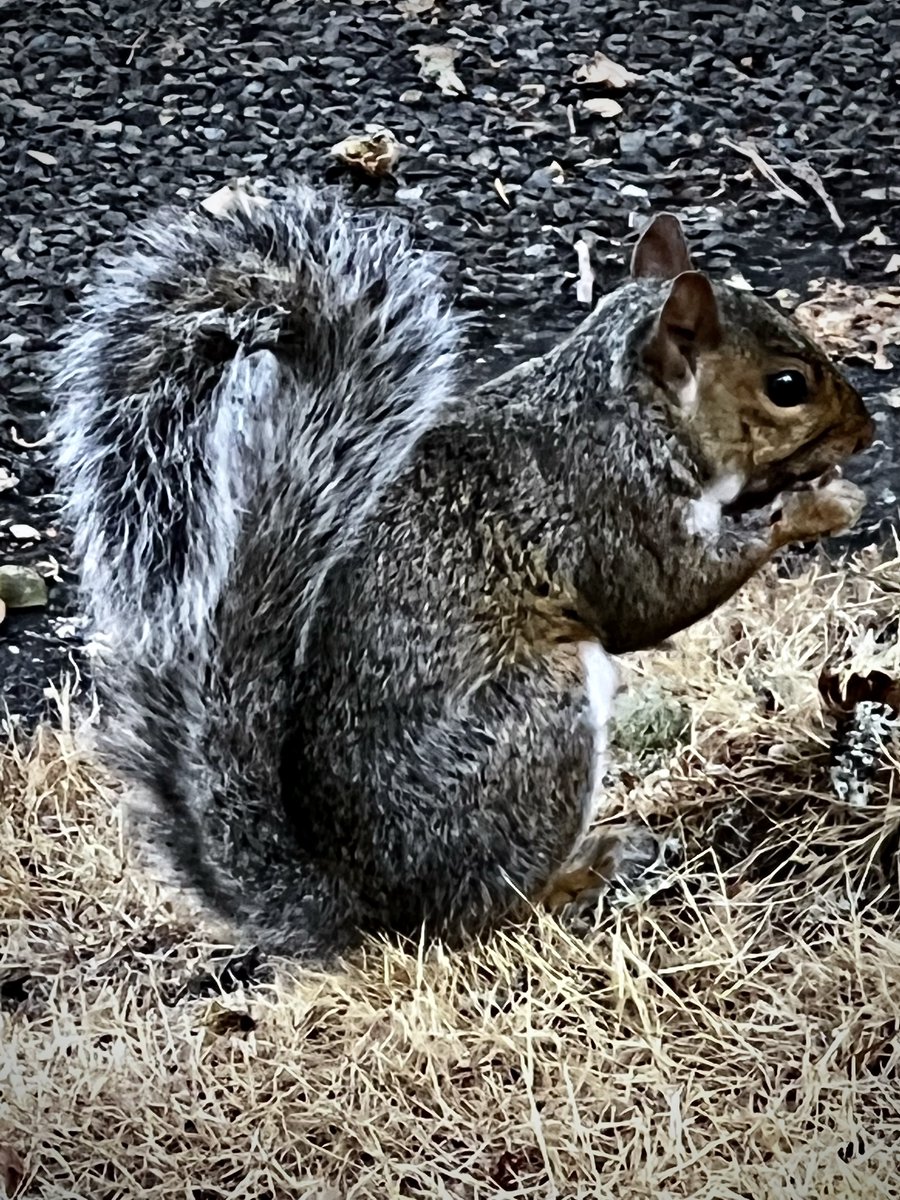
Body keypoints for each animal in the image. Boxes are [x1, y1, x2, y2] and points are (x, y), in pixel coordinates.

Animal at [52, 181, 874, 961]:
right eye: (787, 386)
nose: (865, 433)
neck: (623, 412)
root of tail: (373, 906)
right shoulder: (609, 506)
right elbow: (658, 597)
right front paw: (820, 505)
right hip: (541, 716)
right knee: (489, 909)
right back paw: (585, 868)